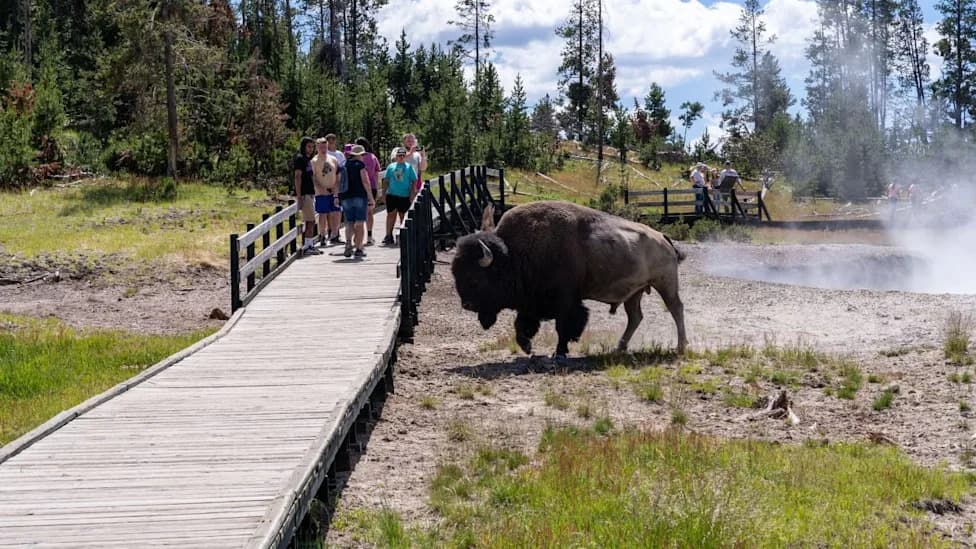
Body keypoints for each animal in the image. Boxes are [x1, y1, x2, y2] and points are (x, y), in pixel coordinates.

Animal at [452, 200, 687, 358]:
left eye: (475, 278)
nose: (467, 304)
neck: (513, 254)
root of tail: (663, 238)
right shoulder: (530, 304)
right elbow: (522, 325)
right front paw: (527, 348)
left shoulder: (566, 302)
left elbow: (563, 326)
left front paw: (560, 352)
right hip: (635, 293)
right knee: (635, 317)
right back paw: (619, 348)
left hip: (665, 283)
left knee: (675, 309)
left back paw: (680, 346)